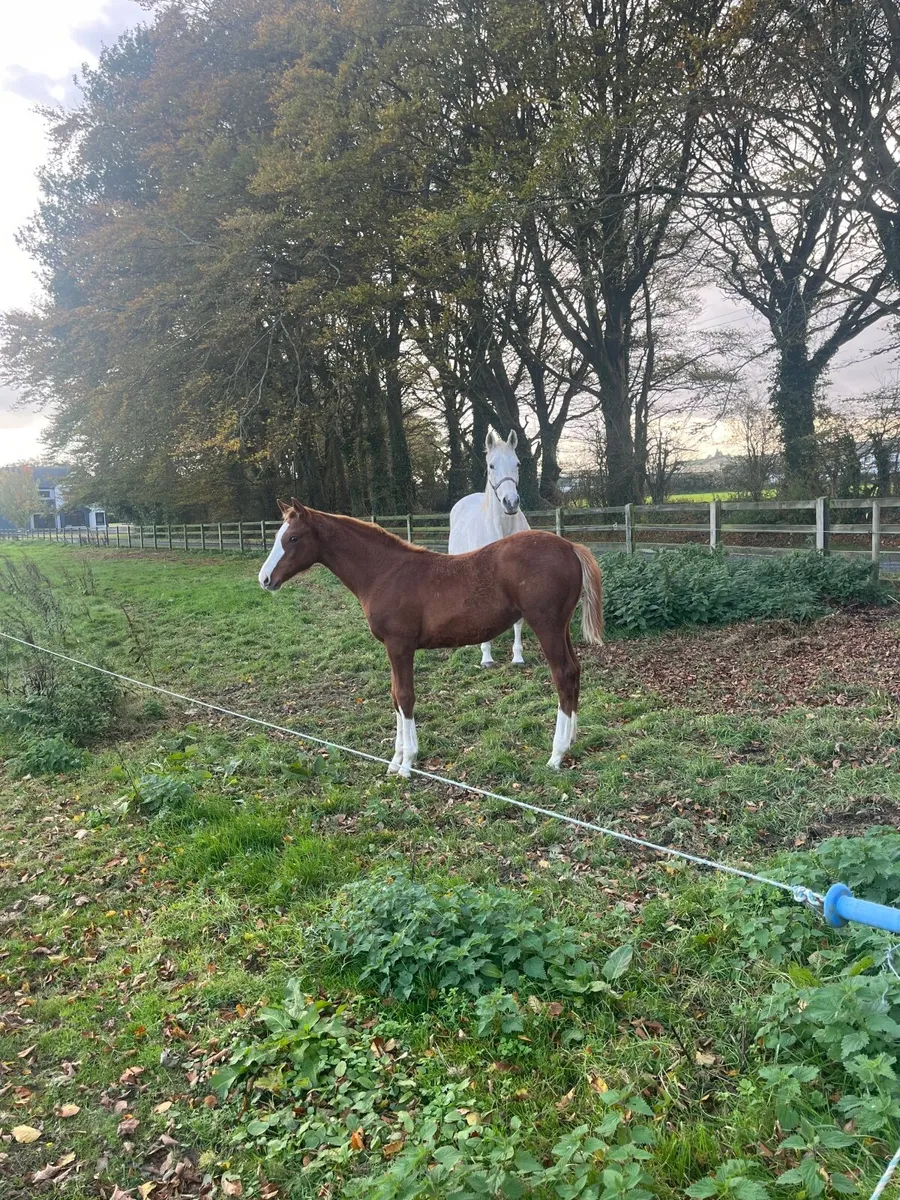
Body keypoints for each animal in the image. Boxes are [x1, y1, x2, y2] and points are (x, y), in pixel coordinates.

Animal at [258, 500, 603, 776]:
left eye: (293, 537)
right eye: (277, 536)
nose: (265, 579)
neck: (384, 572)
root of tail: (570, 547)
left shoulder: (400, 646)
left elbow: (405, 697)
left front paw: (407, 763)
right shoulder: (392, 648)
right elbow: (395, 696)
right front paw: (394, 760)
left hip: (546, 625)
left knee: (562, 675)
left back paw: (556, 755)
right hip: (561, 626)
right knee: (574, 672)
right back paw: (572, 740)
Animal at [448, 429, 529, 667]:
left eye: (517, 463)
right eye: (491, 465)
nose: (511, 502)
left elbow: (518, 621)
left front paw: (517, 657)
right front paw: (486, 657)